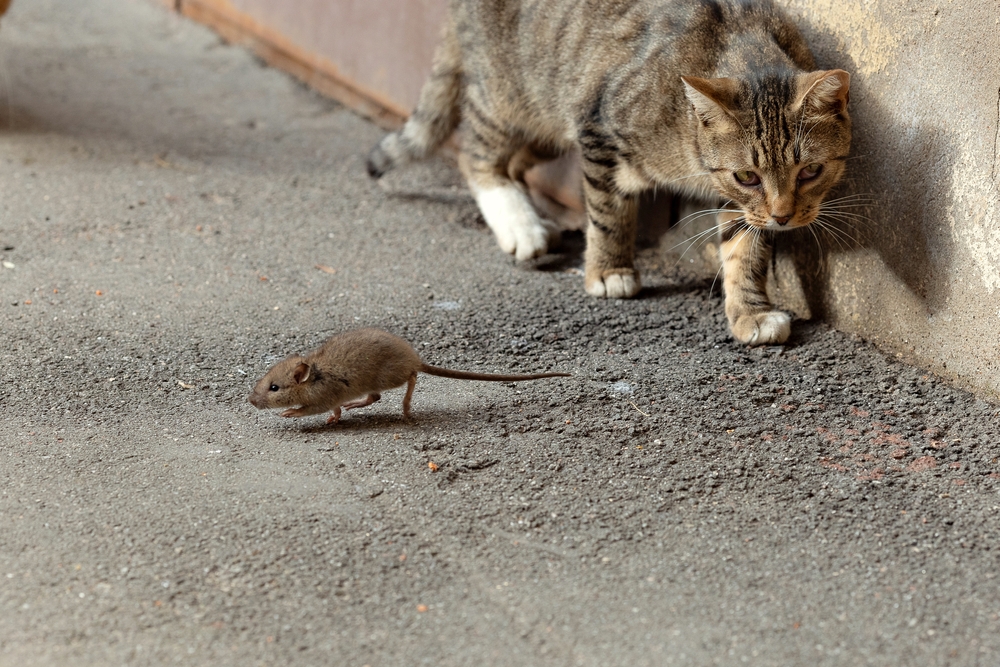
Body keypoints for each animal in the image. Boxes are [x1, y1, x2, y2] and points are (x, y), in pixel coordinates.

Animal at [368, 0, 852, 344]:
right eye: (748, 176)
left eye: (810, 171)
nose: (783, 217)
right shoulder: (598, 129)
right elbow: (608, 214)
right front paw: (608, 270)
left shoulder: (738, 203)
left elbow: (745, 250)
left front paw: (751, 310)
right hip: (511, 97)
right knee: (477, 155)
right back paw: (520, 225)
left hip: (551, 117)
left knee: (517, 162)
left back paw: (538, 219)